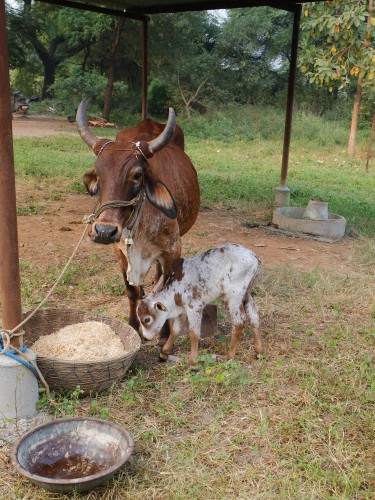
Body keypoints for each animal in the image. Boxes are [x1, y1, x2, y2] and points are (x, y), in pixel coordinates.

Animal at [75, 97, 201, 340]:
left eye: (137, 175)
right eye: (98, 174)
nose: (104, 231)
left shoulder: (173, 249)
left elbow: (165, 292)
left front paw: (164, 336)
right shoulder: (120, 252)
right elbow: (131, 291)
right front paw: (133, 325)